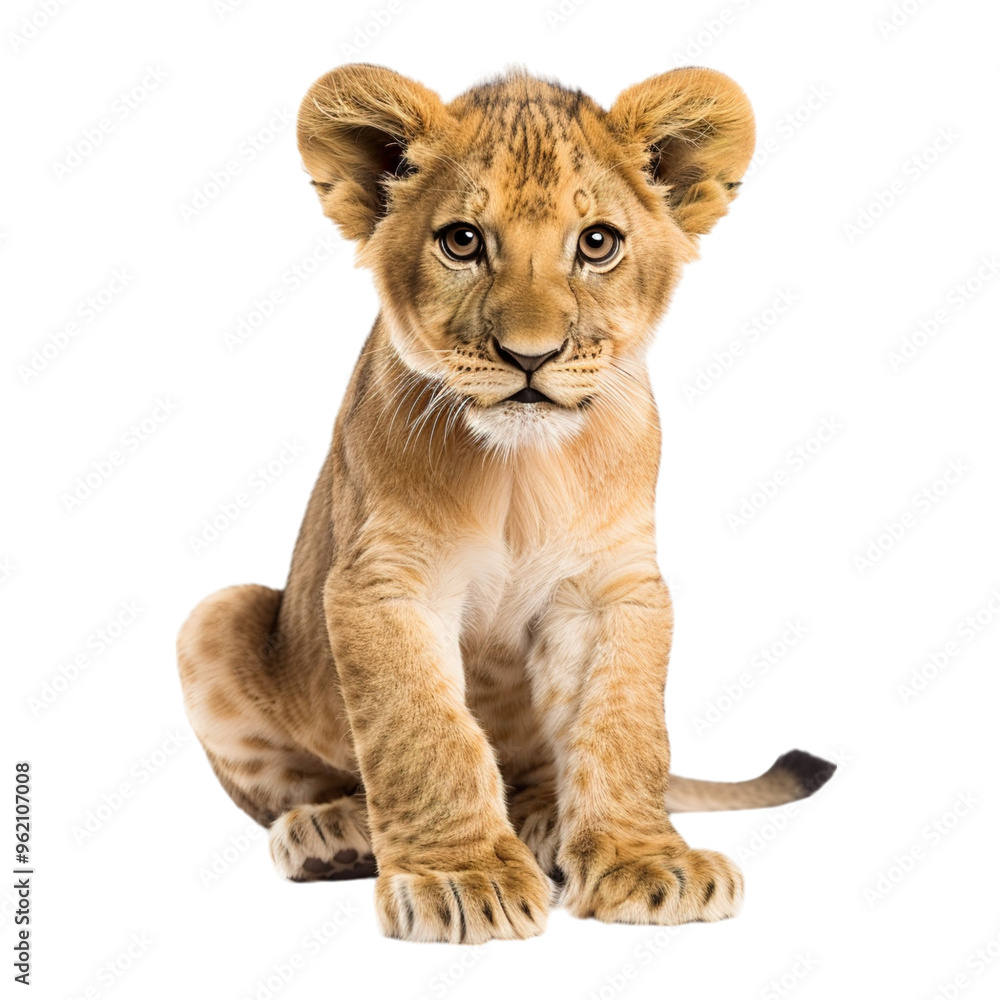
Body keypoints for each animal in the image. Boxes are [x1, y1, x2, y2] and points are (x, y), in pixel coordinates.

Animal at [177, 63, 835, 944]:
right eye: (462, 240)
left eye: (596, 242)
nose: (531, 356)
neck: (520, 471)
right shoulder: (384, 582)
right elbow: (423, 732)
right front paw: (462, 878)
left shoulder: (611, 586)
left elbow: (622, 726)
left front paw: (647, 863)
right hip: (216, 615)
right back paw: (335, 834)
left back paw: (547, 825)